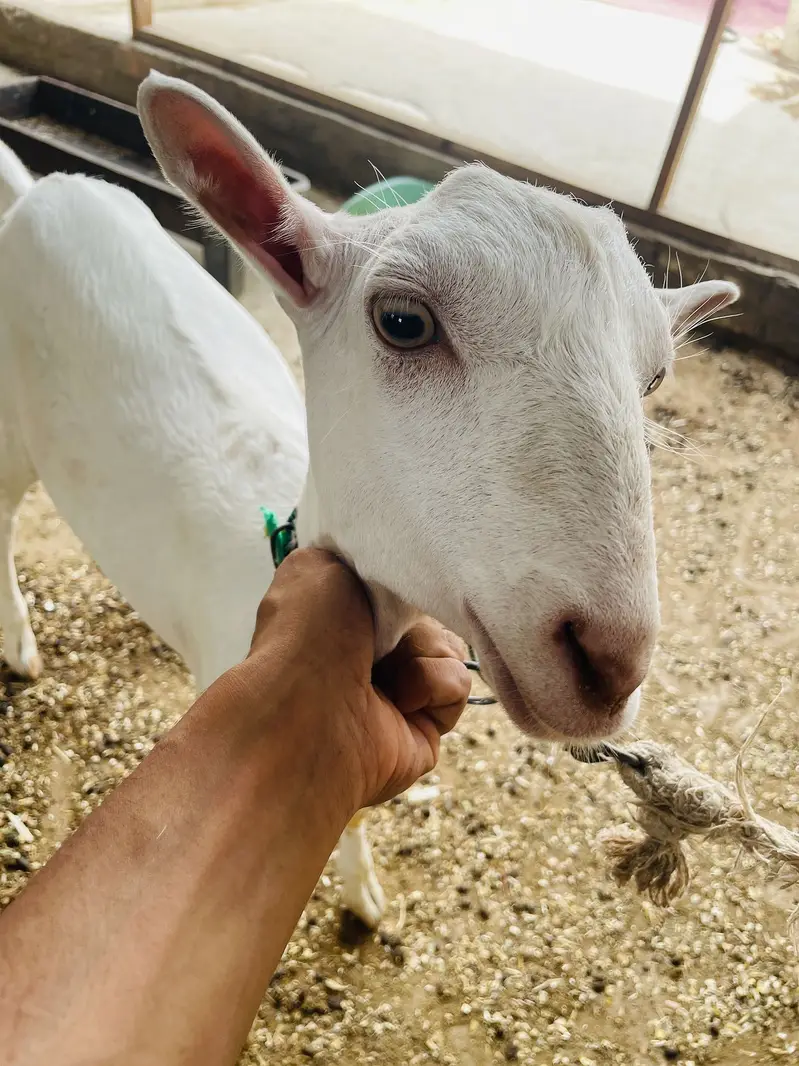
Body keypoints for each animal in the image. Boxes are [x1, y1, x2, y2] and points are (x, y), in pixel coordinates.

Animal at [0, 76, 738, 925]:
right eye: (402, 321)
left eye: (653, 378)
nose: (609, 663)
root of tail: (45, 189)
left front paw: (363, 893)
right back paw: (19, 643)